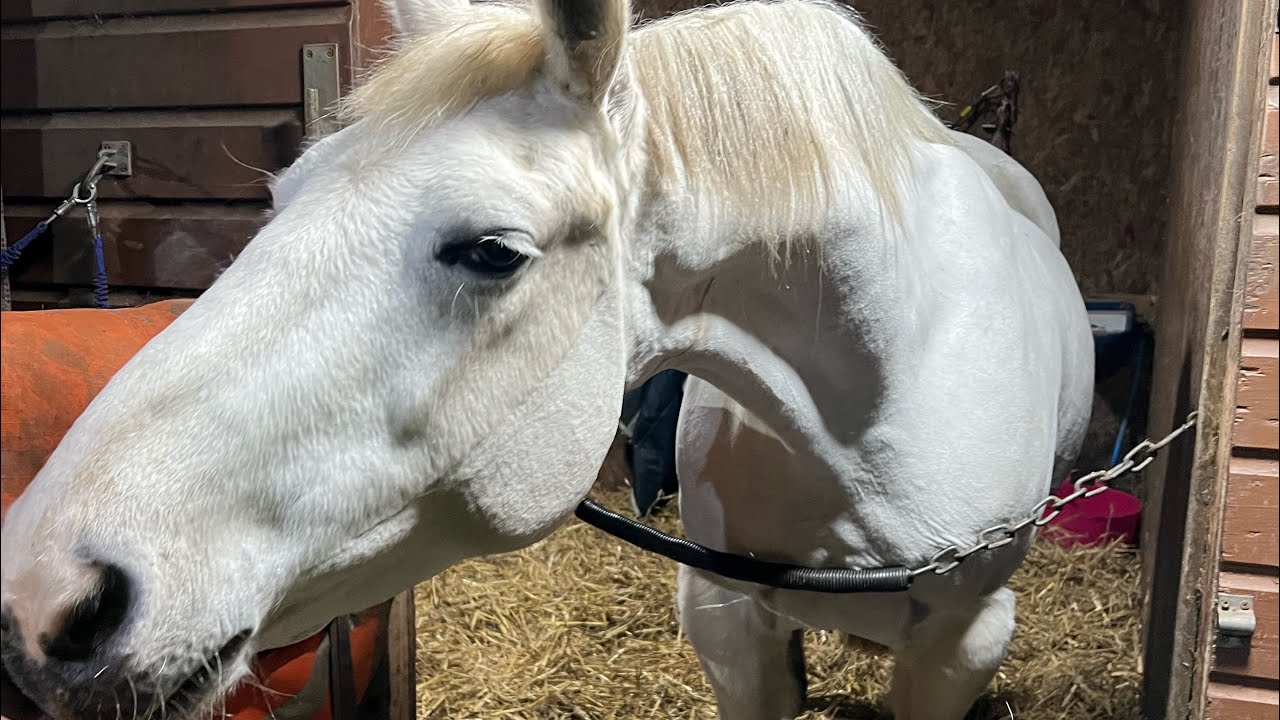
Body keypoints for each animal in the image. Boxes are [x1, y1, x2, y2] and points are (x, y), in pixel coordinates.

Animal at [0, 0, 1093, 717]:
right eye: (282, 196)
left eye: (493, 251)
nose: (43, 596)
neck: (872, 411)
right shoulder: (730, 618)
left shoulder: (964, 641)